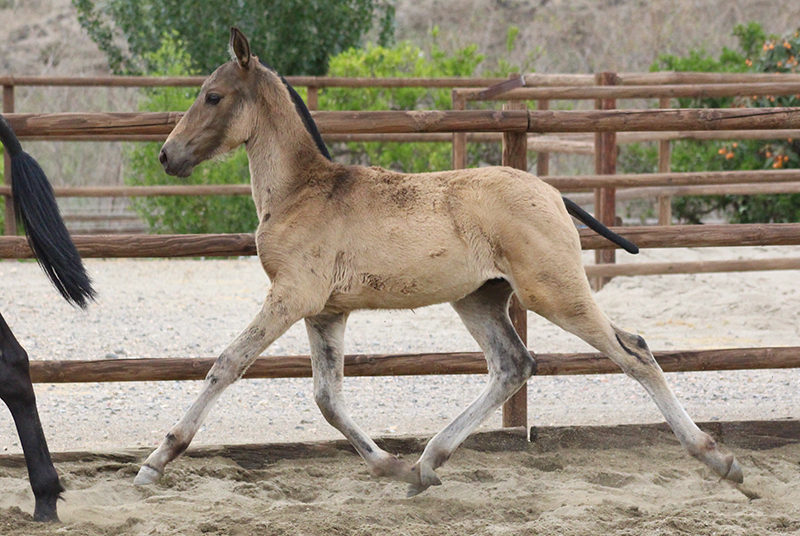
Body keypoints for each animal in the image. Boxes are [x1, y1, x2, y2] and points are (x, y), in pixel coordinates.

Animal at [135, 27, 742, 496]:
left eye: (213, 96)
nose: (167, 155)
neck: (301, 192)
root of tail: (552, 193)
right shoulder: (326, 311)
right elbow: (328, 398)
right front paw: (392, 466)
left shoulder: (290, 297)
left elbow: (227, 365)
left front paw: (156, 462)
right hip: (479, 299)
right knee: (514, 365)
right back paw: (427, 463)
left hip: (554, 293)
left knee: (633, 352)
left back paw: (720, 459)